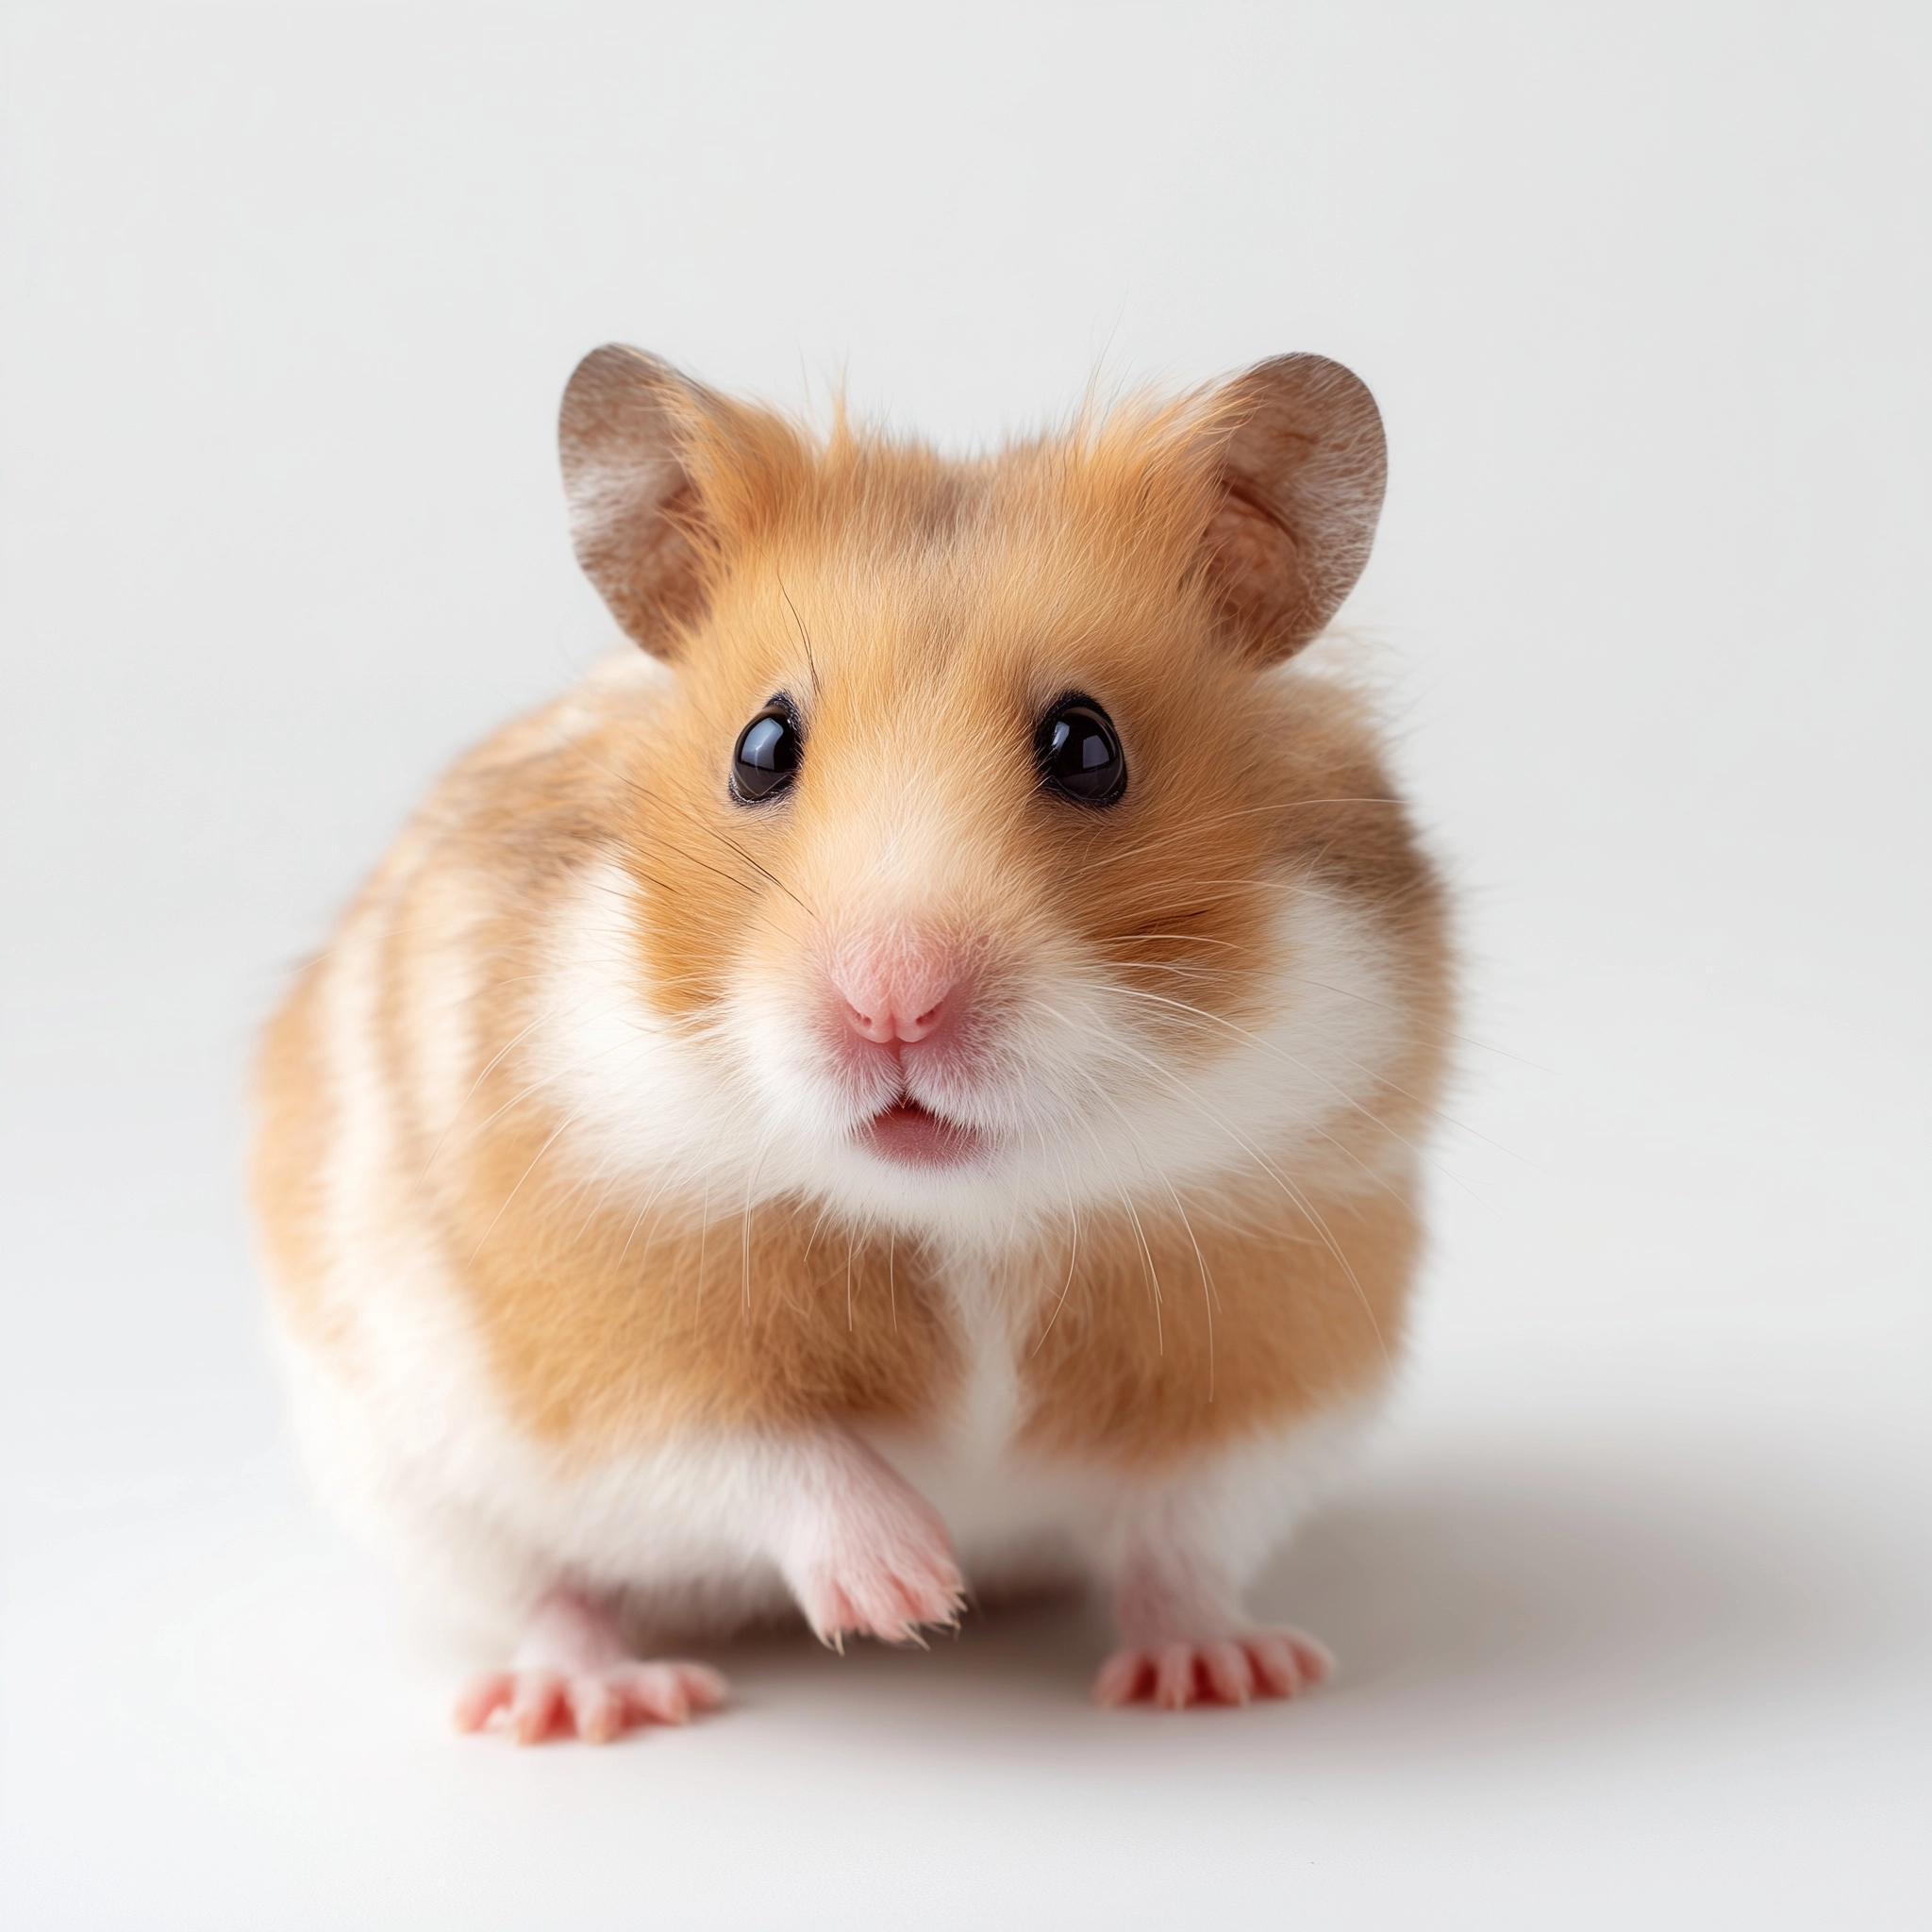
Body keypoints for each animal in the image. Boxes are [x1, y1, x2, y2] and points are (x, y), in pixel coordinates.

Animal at [251, 345, 1452, 1742]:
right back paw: (593, 1702)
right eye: (761, 744)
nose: (892, 1007)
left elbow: (1183, 1530)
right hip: (415, 1474)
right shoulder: (602, 1335)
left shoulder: (1278, 1339)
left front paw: (1220, 1676)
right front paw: (909, 1589)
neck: (965, 1216)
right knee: (553, 1588)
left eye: (1087, 744)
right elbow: (759, 1450)